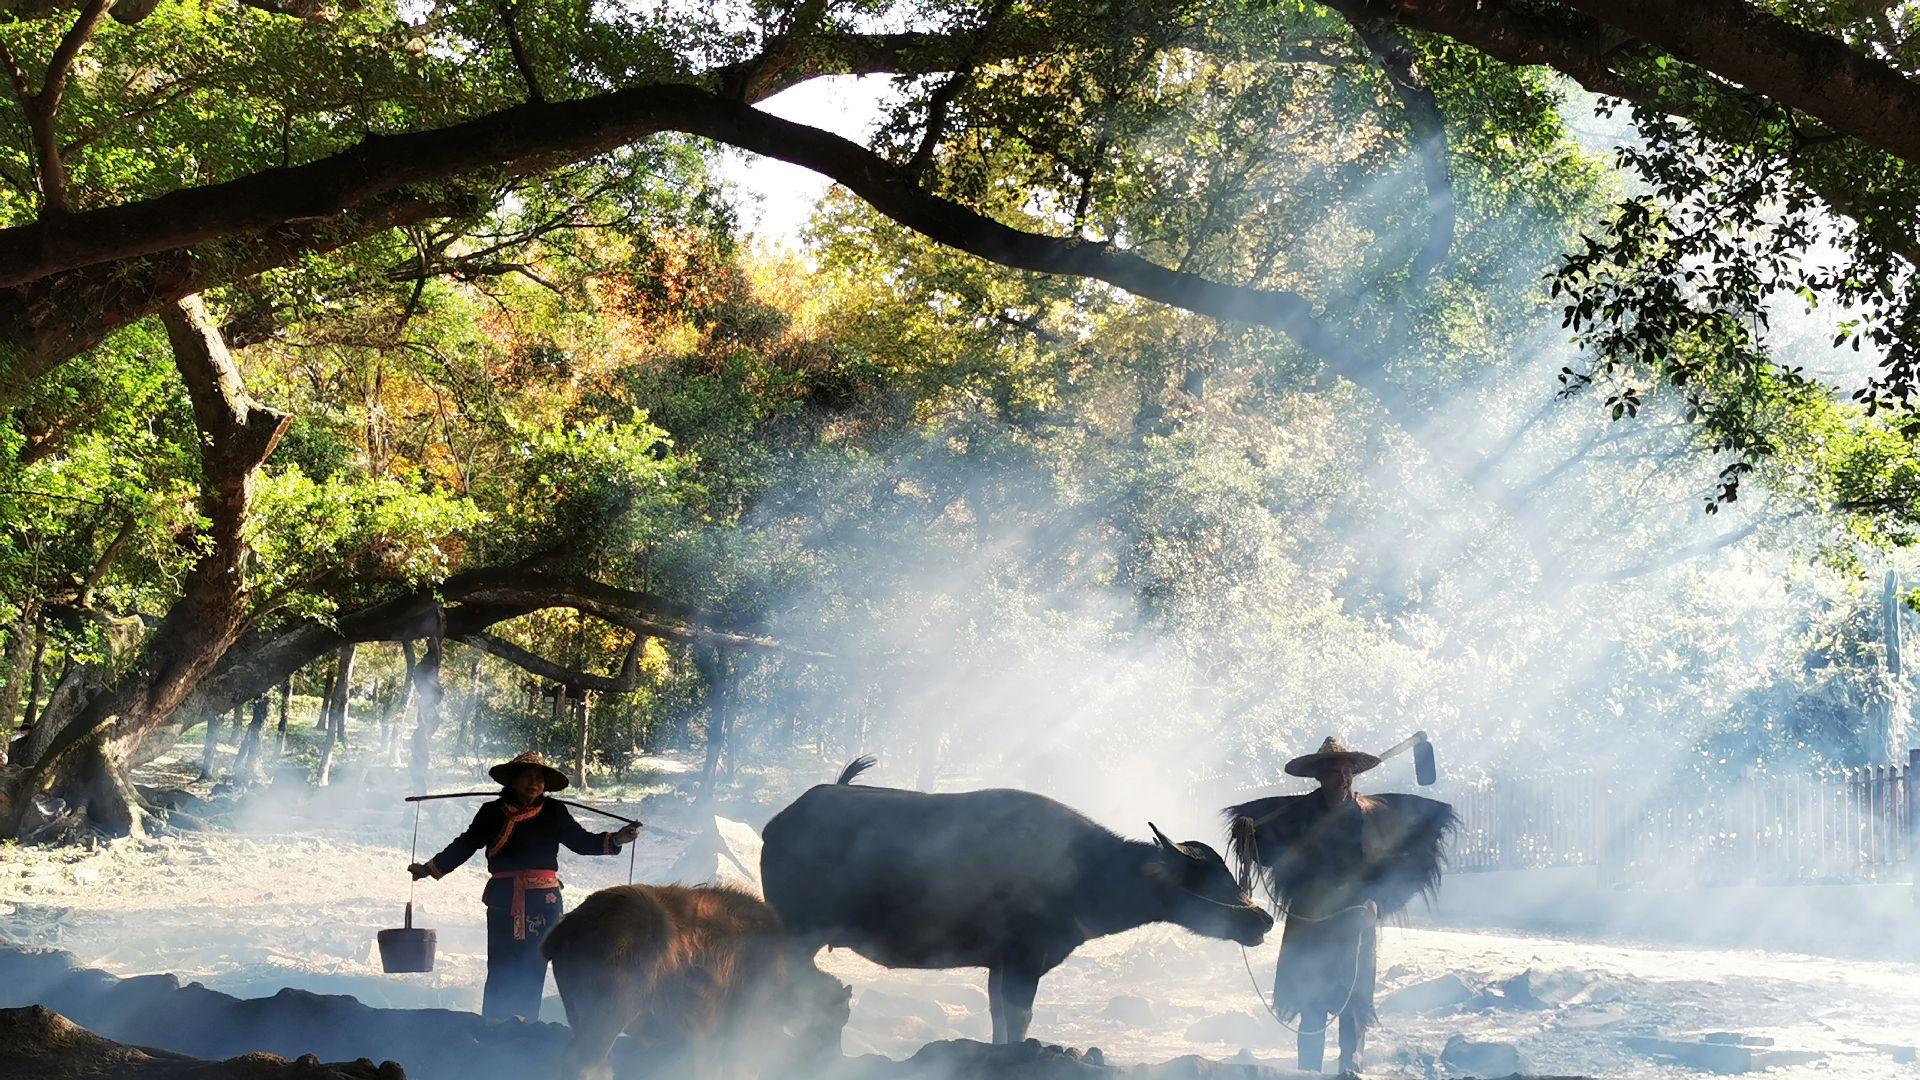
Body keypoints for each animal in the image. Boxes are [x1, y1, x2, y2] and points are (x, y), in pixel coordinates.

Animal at [537, 883, 844, 1076]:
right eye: (835, 1020)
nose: (828, 1061)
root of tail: (565, 929)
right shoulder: (742, 1034)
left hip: (583, 1016)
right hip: (609, 1015)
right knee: (584, 1062)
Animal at [764, 753, 1274, 1037]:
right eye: (1204, 878)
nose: (1262, 919)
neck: (1082, 873)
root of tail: (778, 824)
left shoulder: (1003, 965)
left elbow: (1004, 1023)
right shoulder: (1022, 961)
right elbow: (1016, 1023)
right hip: (797, 933)